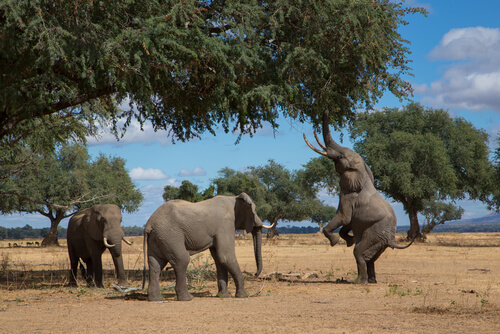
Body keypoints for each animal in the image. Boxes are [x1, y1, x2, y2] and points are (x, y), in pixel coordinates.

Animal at [143, 192, 272, 302]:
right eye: (254, 211)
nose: (255, 274)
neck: (234, 199)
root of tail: (149, 224)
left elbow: (219, 259)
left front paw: (224, 296)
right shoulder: (225, 225)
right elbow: (226, 257)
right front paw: (244, 295)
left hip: (159, 237)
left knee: (156, 264)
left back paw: (156, 299)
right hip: (170, 235)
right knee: (181, 260)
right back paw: (187, 298)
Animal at [302, 110, 412, 284]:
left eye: (340, 157)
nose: (326, 110)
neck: (363, 172)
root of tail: (391, 239)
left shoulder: (348, 196)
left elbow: (344, 218)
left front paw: (336, 242)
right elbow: (348, 222)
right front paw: (349, 240)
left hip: (376, 232)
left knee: (359, 252)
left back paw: (360, 281)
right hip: (379, 238)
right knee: (370, 258)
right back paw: (371, 280)